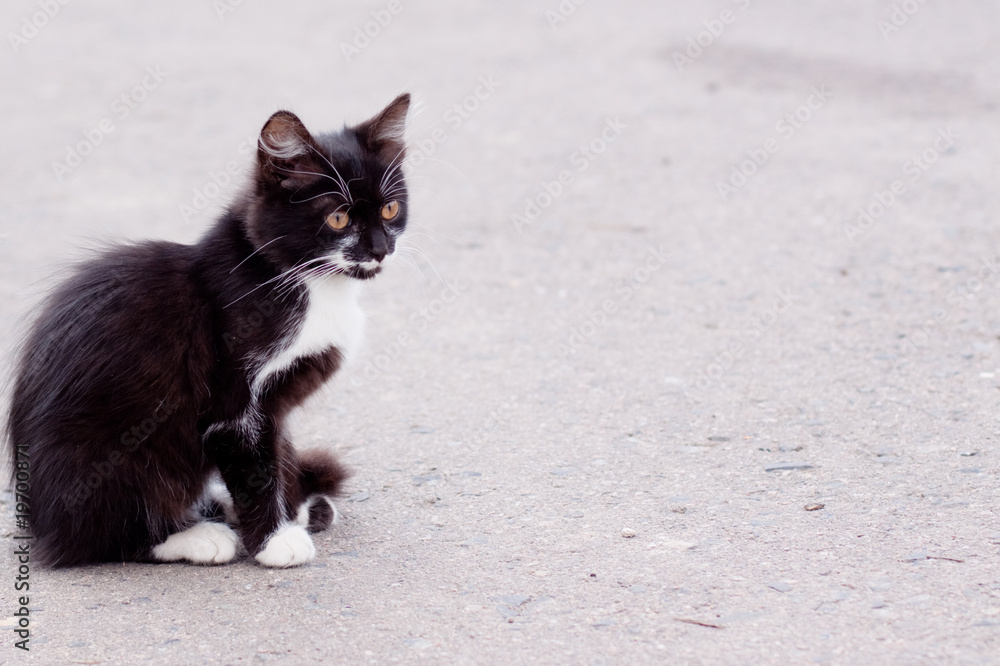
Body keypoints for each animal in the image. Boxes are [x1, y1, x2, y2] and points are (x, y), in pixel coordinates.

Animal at [6, 93, 410, 568]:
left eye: (390, 209)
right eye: (339, 218)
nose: (380, 250)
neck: (303, 280)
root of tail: (36, 522)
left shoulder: (274, 403)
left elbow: (280, 449)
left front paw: (294, 508)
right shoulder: (232, 399)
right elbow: (253, 465)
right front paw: (275, 540)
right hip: (113, 454)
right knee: (97, 536)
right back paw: (196, 534)